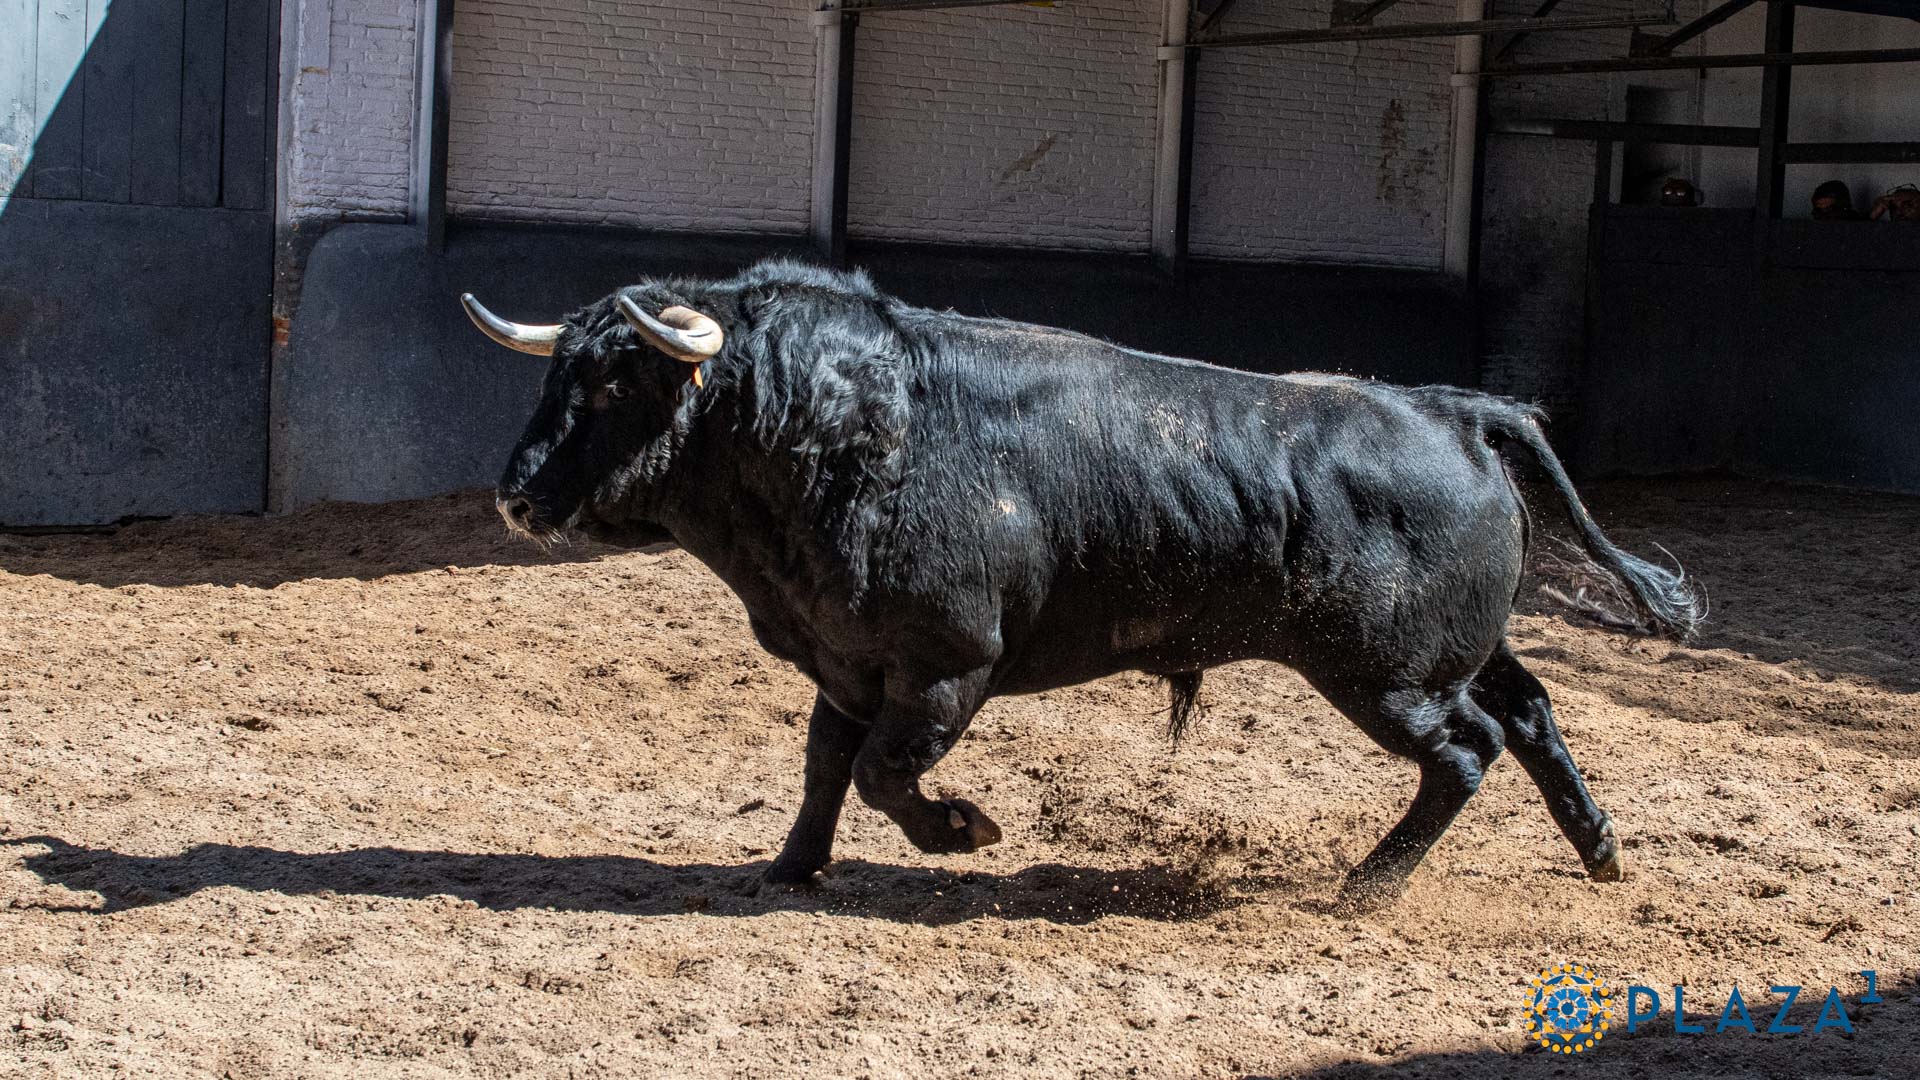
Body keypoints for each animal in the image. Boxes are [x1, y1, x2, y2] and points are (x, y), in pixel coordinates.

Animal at [461, 259, 1701, 912]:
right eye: (556, 375)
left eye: (612, 383)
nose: (514, 498)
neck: (833, 433)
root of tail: (1455, 410)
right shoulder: (846, 661)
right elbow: (824, 770)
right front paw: (792, 868)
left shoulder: (946, 667)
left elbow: (885, 775)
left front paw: (963, 830)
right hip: (1455, 656)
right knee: (1529, 711)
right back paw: (1600, 850)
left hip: (1384, 678)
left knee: (1465, 752)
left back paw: (1363, 888)